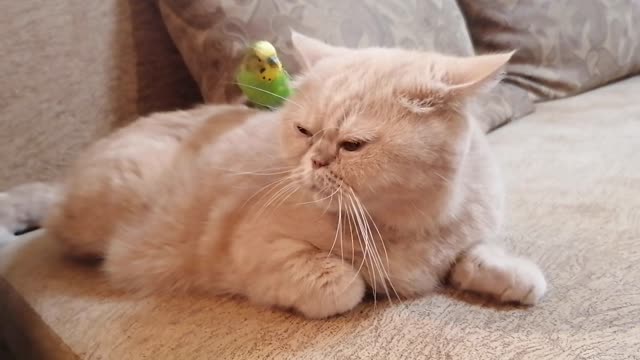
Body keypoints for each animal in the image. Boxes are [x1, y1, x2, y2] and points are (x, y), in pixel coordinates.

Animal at [2, 32, 548, 316]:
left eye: (352, 145)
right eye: (305, 131)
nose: (316, 161)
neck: (409, 224)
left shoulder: (466, 232)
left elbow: (478, 253)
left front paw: (510, 274)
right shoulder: (259, 247)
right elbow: (344, 283)